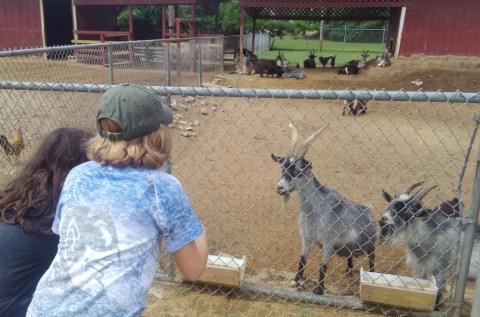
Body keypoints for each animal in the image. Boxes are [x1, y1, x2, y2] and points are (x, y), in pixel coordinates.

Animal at [270, 123, 378, 294]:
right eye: (282, 168)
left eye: (298, 172)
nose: (279, 188)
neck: (313, 212)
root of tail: (368, 210)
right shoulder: (305, 238)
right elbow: (302, 260)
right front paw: (296, 280)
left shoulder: (328, 243)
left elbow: (322, 266)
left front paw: (319, 290)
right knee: (350, 256)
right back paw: (348, 270)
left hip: (371, 244)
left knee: (372, 260)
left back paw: (372, 276)